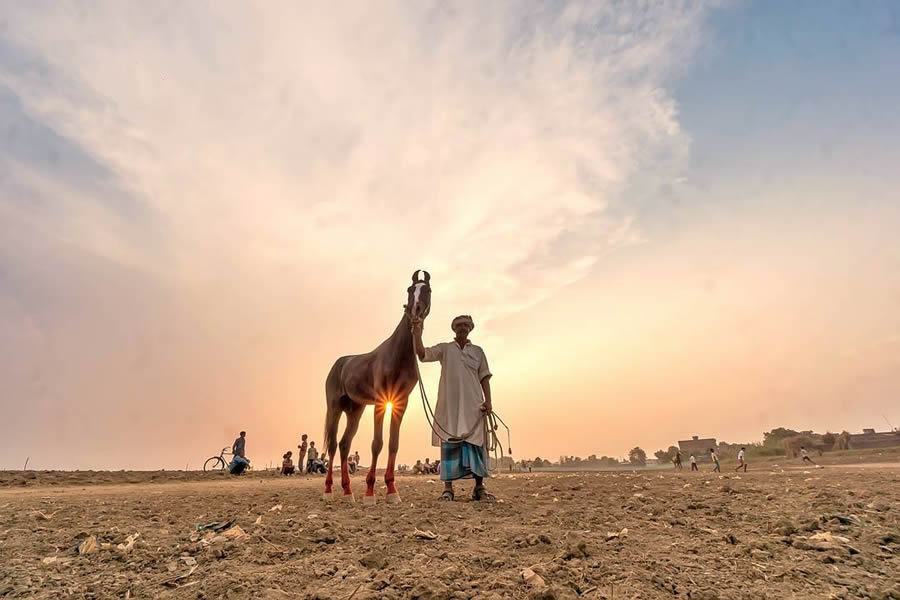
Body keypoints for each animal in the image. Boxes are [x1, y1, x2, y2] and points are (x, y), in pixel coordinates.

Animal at [320, 270, 432, 504]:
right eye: (410, 289)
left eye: (427, 289)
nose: (416, 311)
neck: (398, 354)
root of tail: (338, 364)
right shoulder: (382, 400)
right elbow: (377, 443)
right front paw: (370, 493)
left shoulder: (400, 403)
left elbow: (393, 443)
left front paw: (392, 490)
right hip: (334, 408)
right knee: (333, 445)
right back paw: (328, 490)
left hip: (355, 411)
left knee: (344, 445)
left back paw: (348, 492)